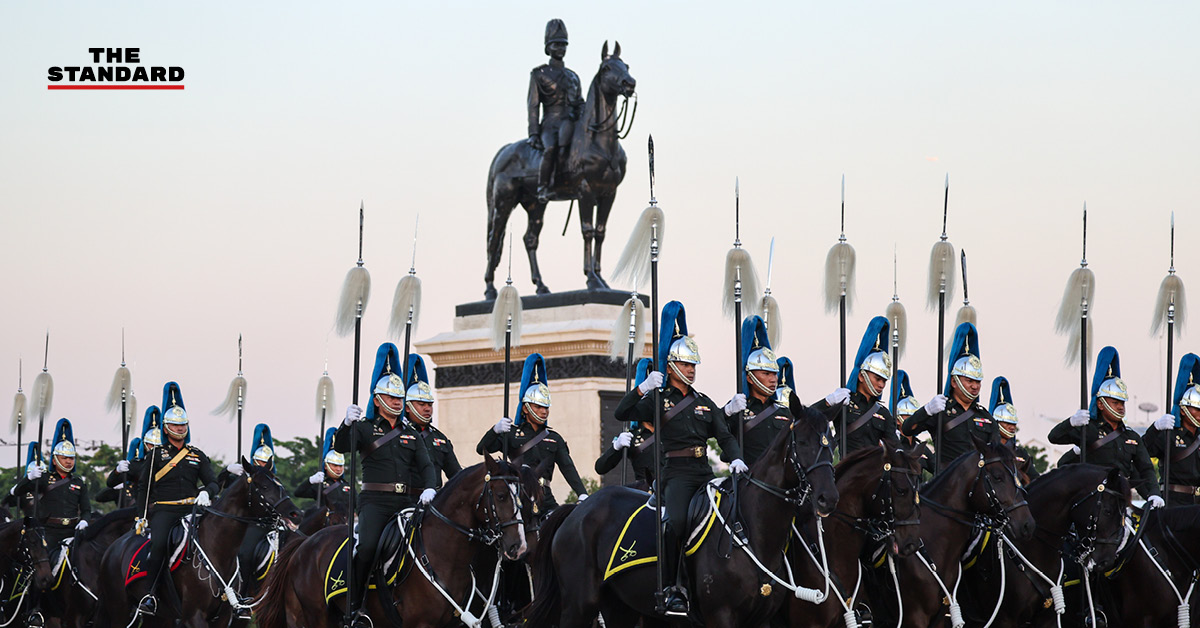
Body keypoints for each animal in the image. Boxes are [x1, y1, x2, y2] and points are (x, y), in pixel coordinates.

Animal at [487, 40, 638, 298]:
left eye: (625, 65)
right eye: (607, 67)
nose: (630, 83)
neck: (599, 141)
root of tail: (503, 152)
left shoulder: (609, 194)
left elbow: (600, 232)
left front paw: (602, 279)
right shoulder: (585, 192)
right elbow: (587, 231)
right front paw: (591, 279)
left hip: (535, 205)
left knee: (530, 239)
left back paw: (541, 286)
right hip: (503, 204)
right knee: (494, 239)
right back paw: (489, 290)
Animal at [530, 405, 840, 624]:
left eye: (830, 442)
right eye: (802, 442)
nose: (828, 498)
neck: (749, 530)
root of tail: (577, 510)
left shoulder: (761, 620)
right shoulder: (721, 615)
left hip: (619, 606)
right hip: (579, 604)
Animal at [960, 461, 1128, 628]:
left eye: (1124, 513)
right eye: (1108, 511)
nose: (1106, 561)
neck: (1034, 549)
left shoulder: (1048, 619)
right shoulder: (1005, 620)